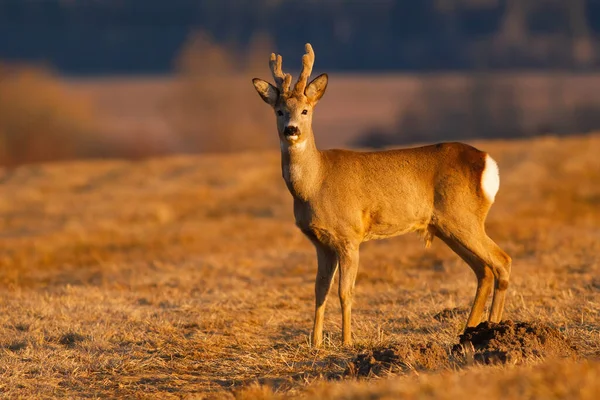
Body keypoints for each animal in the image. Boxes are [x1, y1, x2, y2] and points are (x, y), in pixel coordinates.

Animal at [252, 42, 510, 346]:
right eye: (279, 111)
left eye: (305, 110)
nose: (291, 130)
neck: (315, 184)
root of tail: (487, 163)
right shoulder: (320, 242)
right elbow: (319, 290)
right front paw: (315, 343)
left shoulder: (349, 234)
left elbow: (345, 291)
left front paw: (347, 342)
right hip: (447, 226)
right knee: (483, 270)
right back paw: (470, 330)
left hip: (463, 217)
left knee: (502, 261)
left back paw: (493, 329)